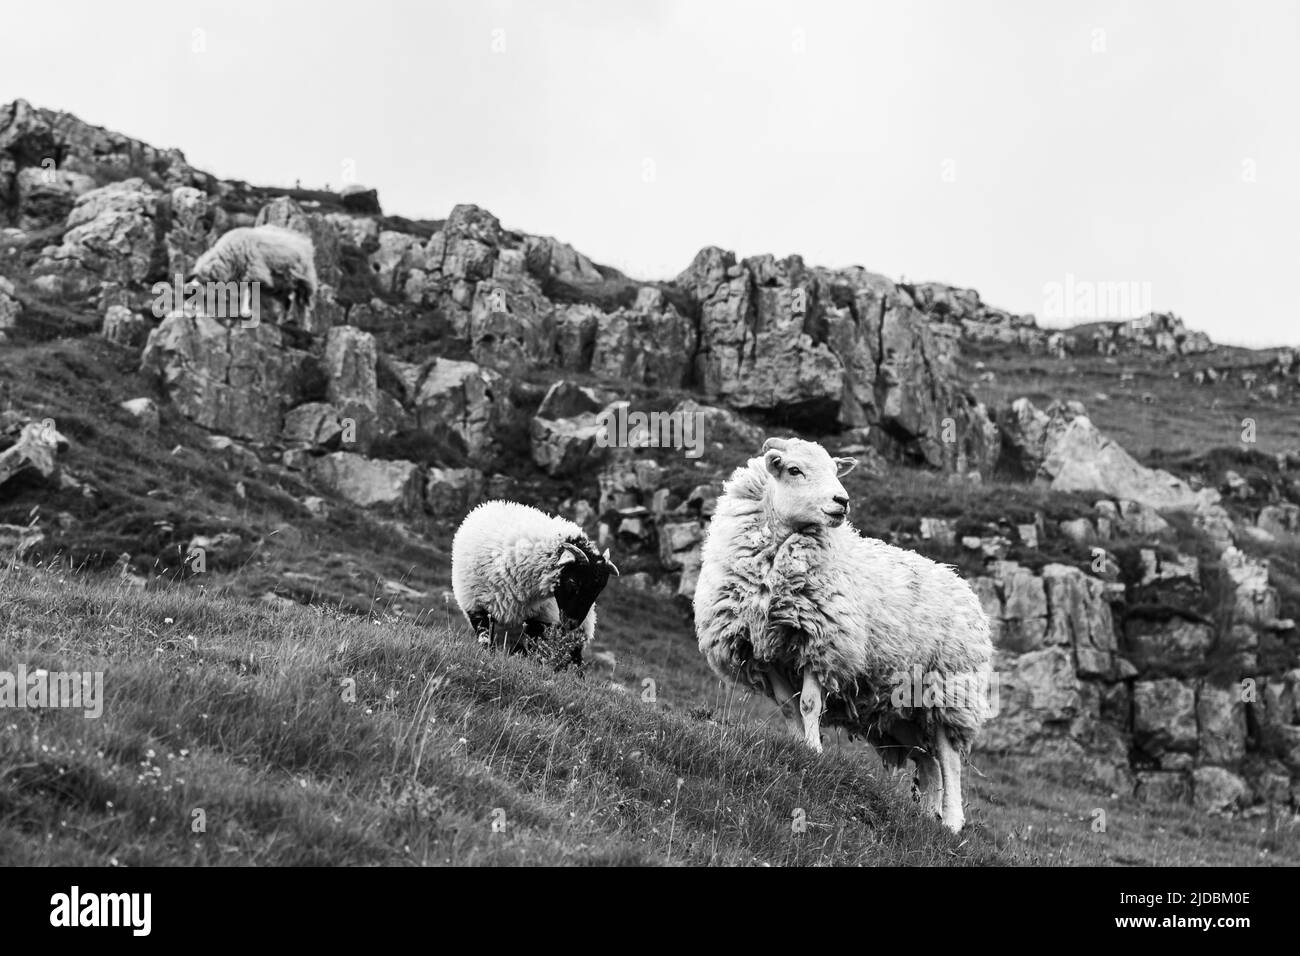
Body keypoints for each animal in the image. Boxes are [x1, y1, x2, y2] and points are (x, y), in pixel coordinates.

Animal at [189, 223, 318, 317]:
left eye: (196, 292)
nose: (192, 308)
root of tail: (304, 240)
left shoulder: (253, 270)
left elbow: (248, 291)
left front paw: (245, 311)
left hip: (304, 277)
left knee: (303, 303)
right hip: (283, 283)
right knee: (288, 301)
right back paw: (283, 319)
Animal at [452, 502, 618, 671]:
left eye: (598, 590)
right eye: (573, 582)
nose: (572, 624)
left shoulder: (541, 618)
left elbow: (537, 651)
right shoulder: (475, 607)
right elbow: (485, 640)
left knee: (573, 660)